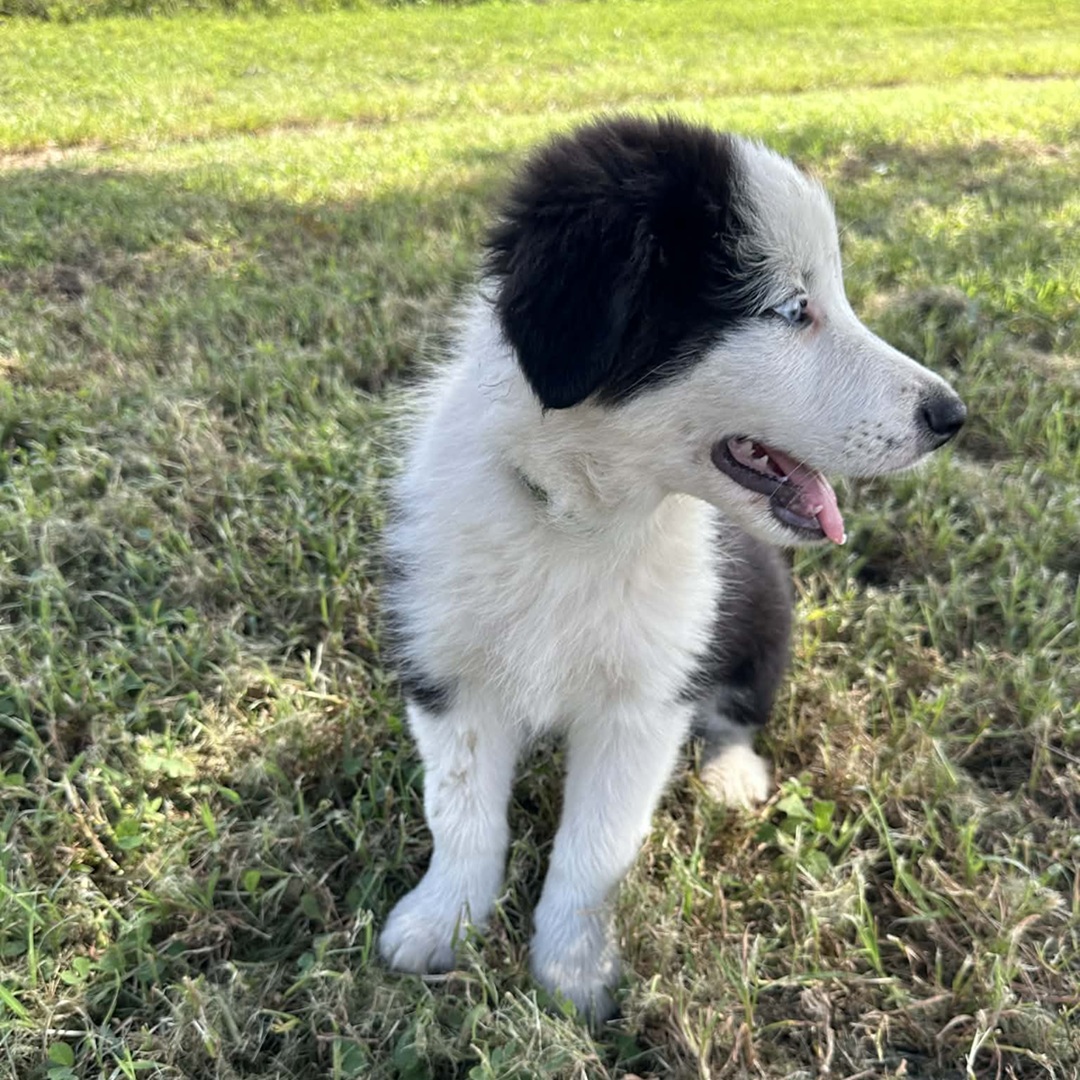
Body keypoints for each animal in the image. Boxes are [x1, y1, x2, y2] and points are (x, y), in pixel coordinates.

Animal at [378, 115, 965, 1021]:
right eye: (791, 309)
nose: (951, 415)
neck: (584, 521)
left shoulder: (647, 699)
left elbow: (596, 842)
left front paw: (573, 968)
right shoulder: (449, 670)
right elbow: (462, 809)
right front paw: (444, 922)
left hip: (762, 617)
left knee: (738, 711)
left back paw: (731, 775)